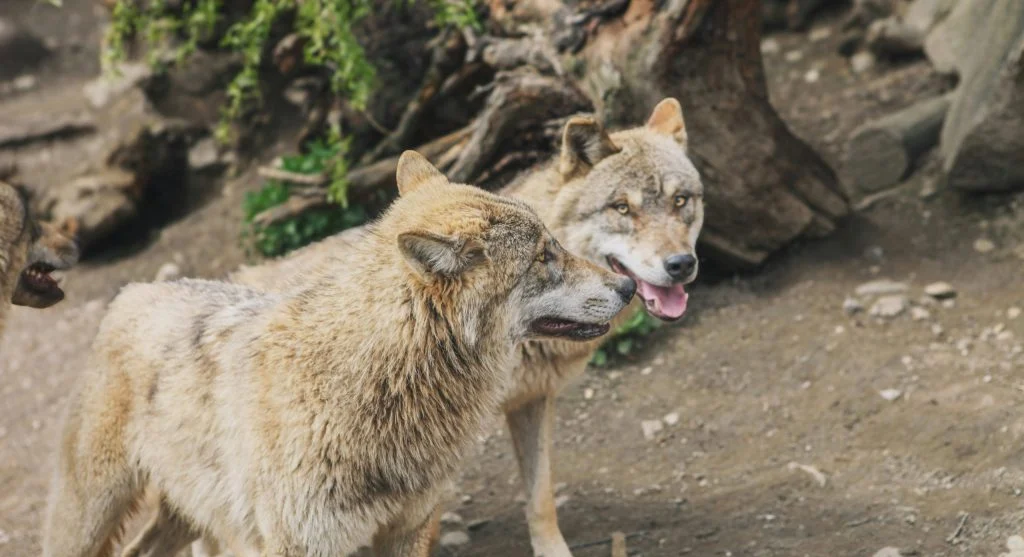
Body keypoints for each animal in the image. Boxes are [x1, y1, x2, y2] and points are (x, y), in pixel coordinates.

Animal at [42, 151, 636, 557]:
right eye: (543, 257)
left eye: (554, 243)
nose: (628, 287)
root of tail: (133, 290)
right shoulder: (300, 545)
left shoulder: (409, 529)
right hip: (90, 520)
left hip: (194, 516)